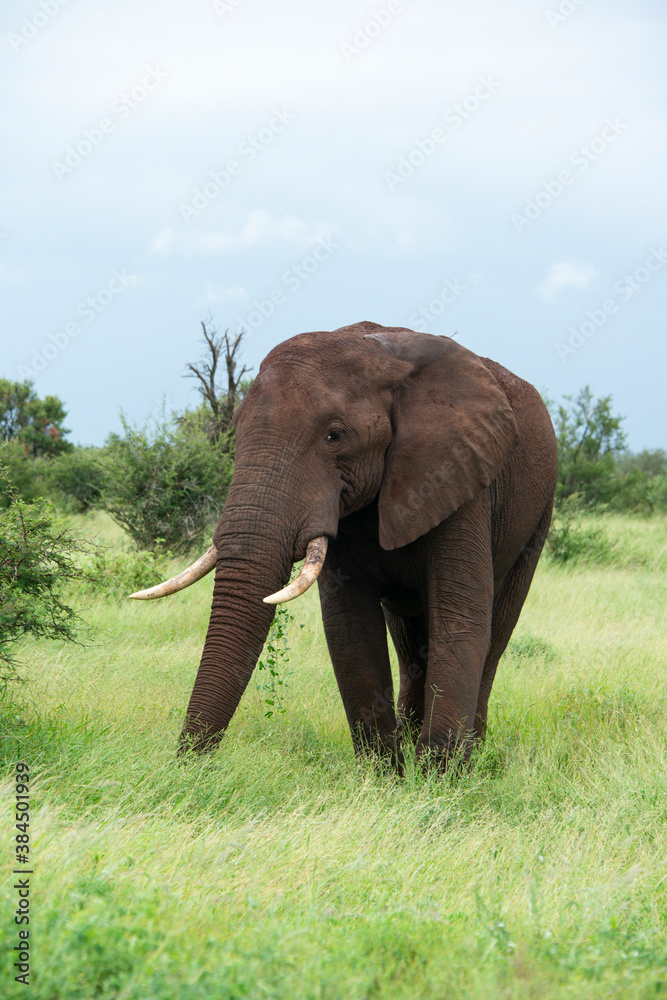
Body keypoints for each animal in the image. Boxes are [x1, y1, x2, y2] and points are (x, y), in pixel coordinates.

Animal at [131, 321, 557, 770]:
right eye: (235, 430)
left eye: (335, 436)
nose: (187, 765)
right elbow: (350, 628)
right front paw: (385, 776)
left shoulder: (459, 472)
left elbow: (459, 617)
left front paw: (440, 778)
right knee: (409, 643)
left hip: (538, 514)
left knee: (496, 630)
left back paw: (473, 753)